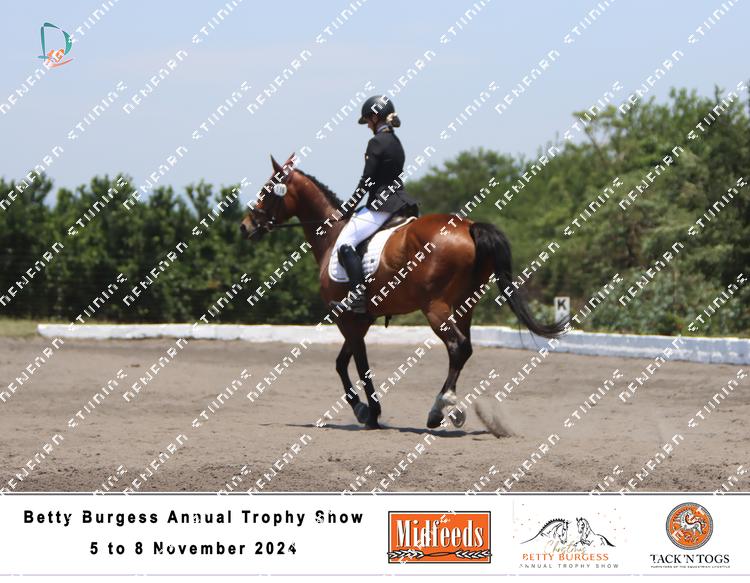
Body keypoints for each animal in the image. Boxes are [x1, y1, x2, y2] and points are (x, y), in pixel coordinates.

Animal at [240, 153, 566, 430]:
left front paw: (370, 412)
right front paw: (364, 410)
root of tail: (469, 227)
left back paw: (439, 409)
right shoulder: (361, 319)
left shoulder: (347, 318)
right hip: (464, 305)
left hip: (435, 307)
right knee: (464, 348)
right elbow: (342, 363)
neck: (332, 237)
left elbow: (359, 365)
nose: (245, 227)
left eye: (268, 191)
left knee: (457, 347)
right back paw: (452, 409)